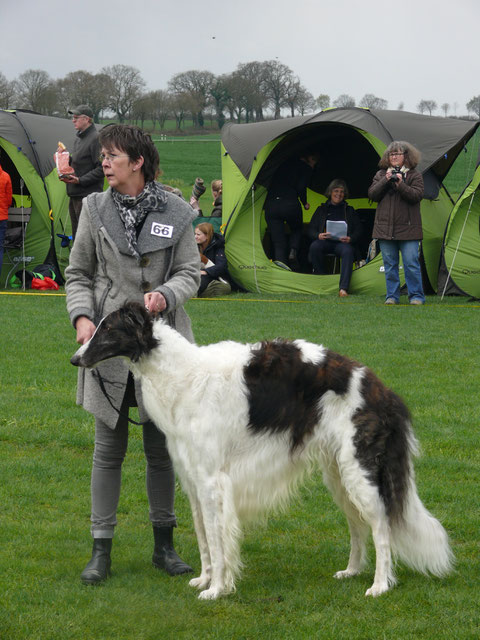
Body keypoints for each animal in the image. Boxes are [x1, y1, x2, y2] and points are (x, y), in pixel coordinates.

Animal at [71, 302, 454, 596]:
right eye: (96, 326)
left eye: (108, 329)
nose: (76, 358)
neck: (182, 375)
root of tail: (383, 390)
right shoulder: (193, 481)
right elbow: (204, 539)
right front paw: (204, 580)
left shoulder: (212, 481)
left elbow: (217, 540)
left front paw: (216, 590)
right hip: (338, 473)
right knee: (358, 526)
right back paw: (352, 571)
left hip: (359, 469)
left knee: (381, 527)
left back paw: (380, 585)